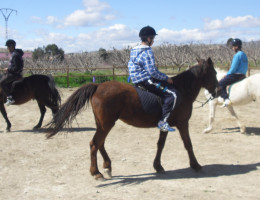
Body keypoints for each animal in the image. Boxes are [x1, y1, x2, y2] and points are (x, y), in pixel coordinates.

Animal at [46, 57, 217, 180]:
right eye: (214, 73)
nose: (216, 91)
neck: (181, 90)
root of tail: (98, 86)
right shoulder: (183, 123)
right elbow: (188, 144)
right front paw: (196, 165)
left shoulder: (165, 125)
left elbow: (160, 145)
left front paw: (158, 166)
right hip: (106, 124)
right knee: (94, 144)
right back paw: (97, 173)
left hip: (102, 124)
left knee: (100, 143)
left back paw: (107, 167)